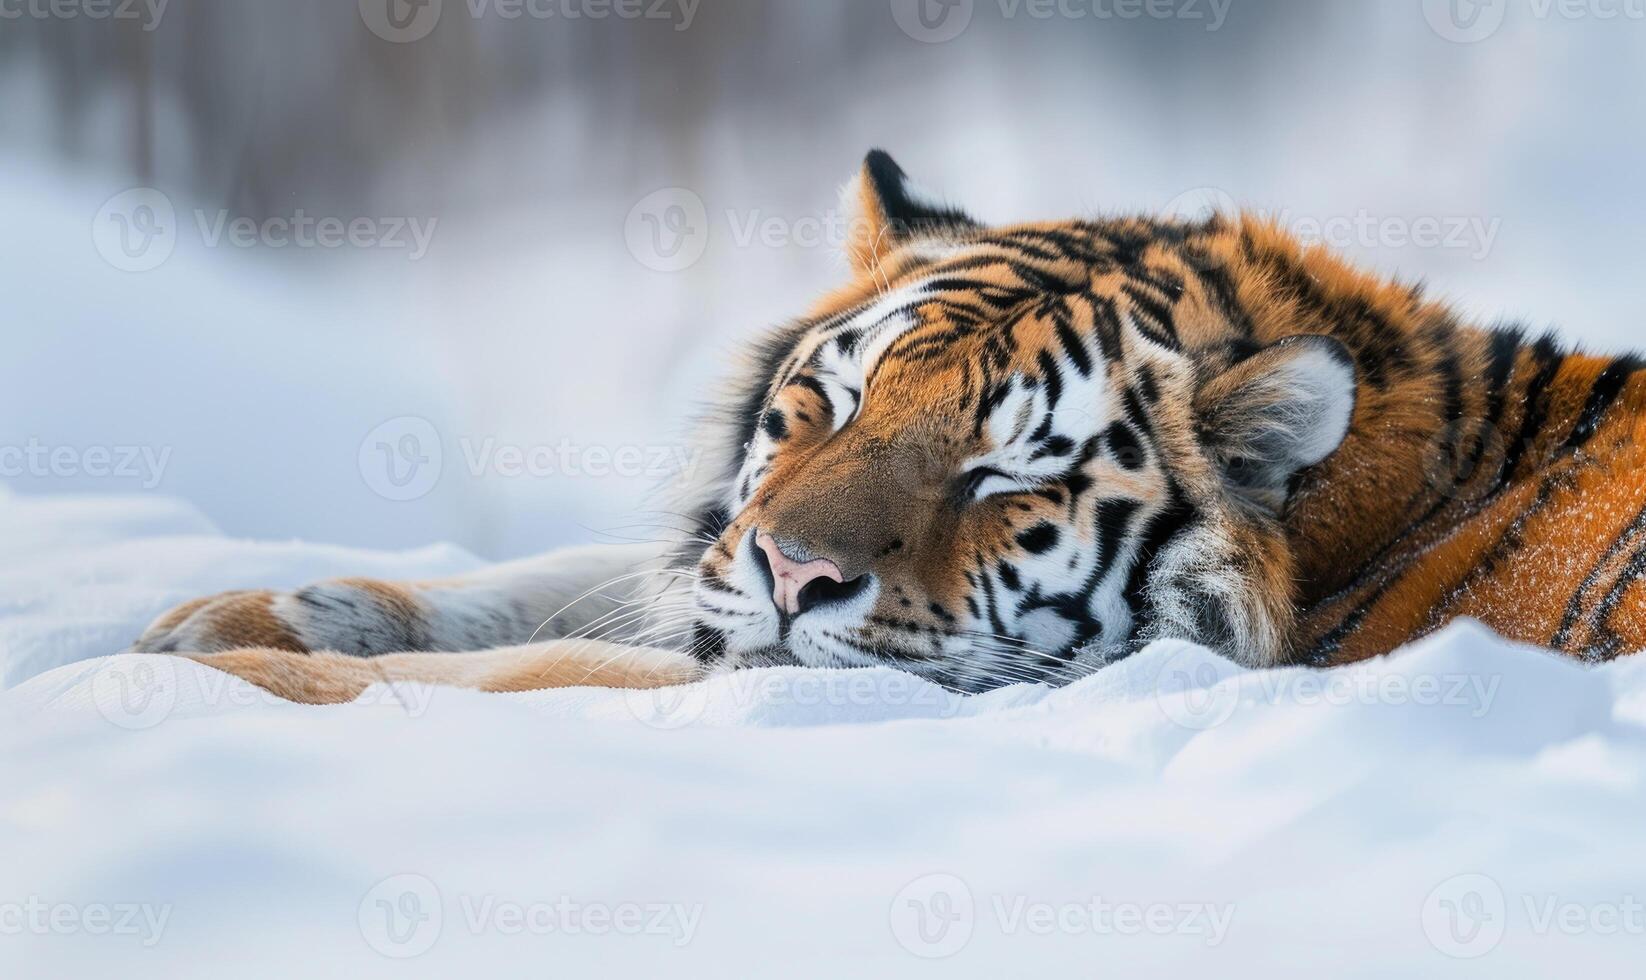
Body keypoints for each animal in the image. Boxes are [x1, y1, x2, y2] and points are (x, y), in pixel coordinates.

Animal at [131, 147, 1646, 704]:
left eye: (1000, 479)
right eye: (828, 408)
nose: (794, 574)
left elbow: (530, 670)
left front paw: (196, 685)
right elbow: (558, 590)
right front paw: (232, 617)